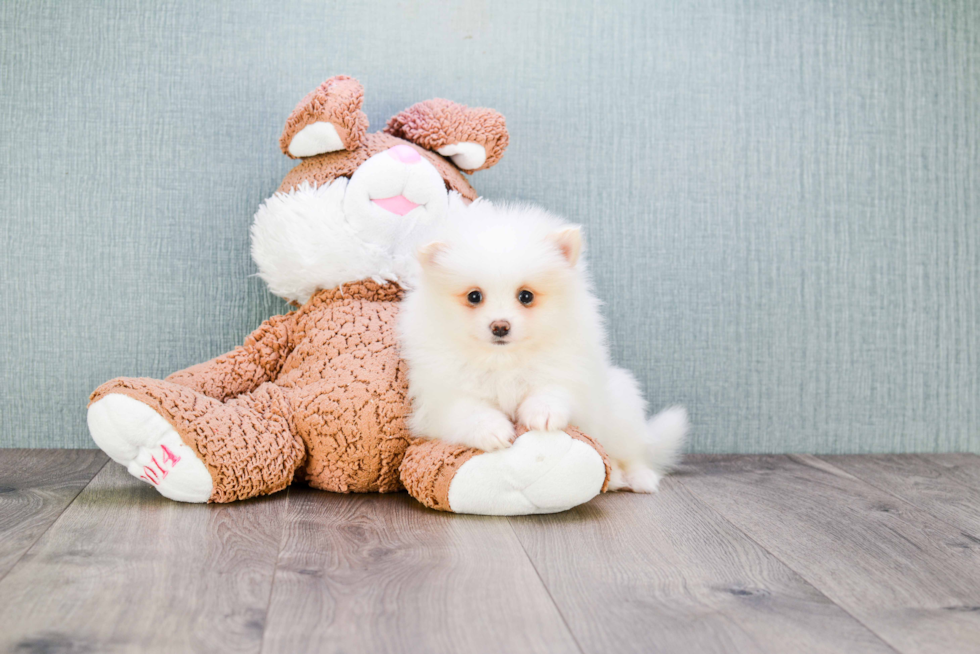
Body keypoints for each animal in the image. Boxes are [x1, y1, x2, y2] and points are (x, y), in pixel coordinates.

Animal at [398, 200, 688, 492]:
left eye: (526, 296)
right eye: (474, 296)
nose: (500, 326)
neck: (503, 360)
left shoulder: (568, 372)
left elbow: (551, 389)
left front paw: (543, 415)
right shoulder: (442, 397)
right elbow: (469, 411)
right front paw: (493, 431)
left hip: (621, 410)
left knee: (634, 453)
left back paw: (639, 478)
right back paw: (617, 476)